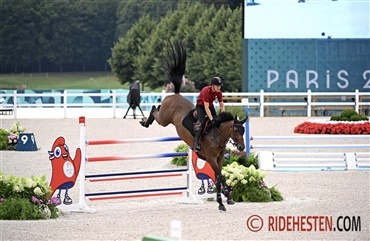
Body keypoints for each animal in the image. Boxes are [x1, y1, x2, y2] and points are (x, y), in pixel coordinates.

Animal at [140, 41, 247, 211]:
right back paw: (145, 122)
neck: (217, 136)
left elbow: (218, 177)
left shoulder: (219, 159)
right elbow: (220, 177)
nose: (242, 147)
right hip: (164, 119)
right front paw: (225, 200)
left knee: (157, 107)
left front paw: (223, 200)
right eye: (235, 130)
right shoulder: (211, 159)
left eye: (243, 131)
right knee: (155, 108)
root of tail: (176, 94)